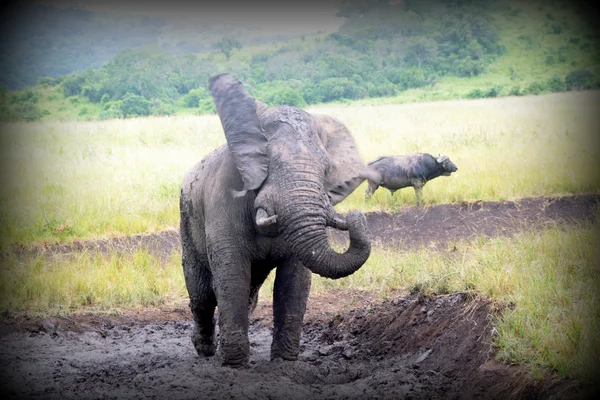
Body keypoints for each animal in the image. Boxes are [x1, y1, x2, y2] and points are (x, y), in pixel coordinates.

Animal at [180, 73, 378, 368]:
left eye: (326, 169)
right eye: (269, 163)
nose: (357, 216)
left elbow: (293, 282)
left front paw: (284, 362)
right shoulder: (222, 202)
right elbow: (232, 277)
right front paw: (234, 365)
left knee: (248, 293)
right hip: (186, 219)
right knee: (203, 295)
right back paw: (205, 350)